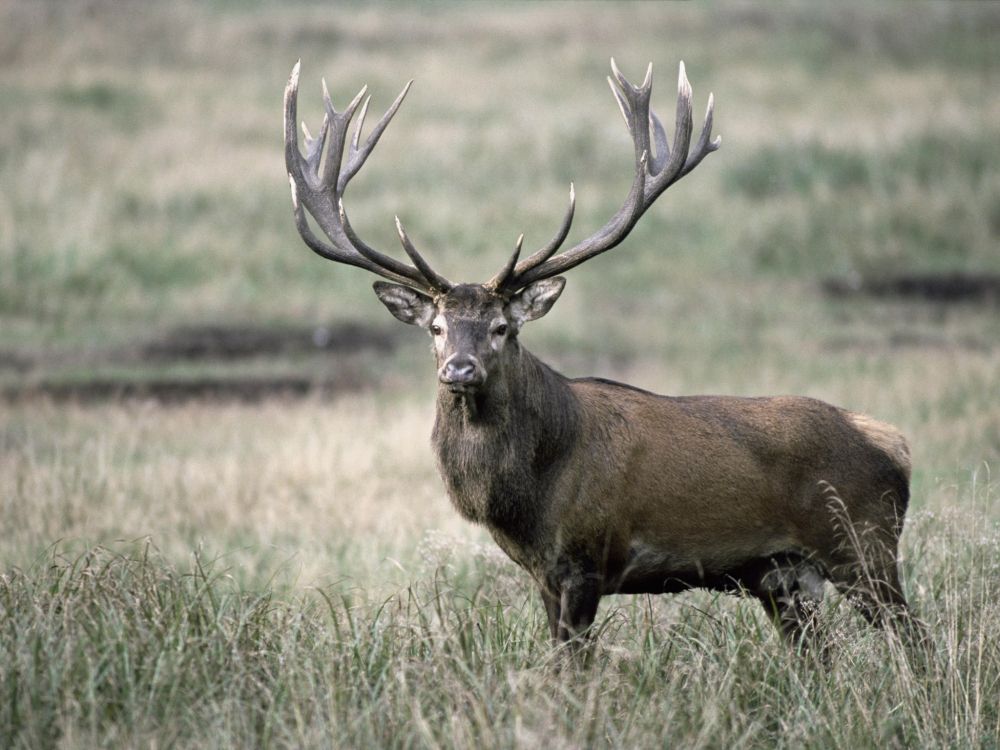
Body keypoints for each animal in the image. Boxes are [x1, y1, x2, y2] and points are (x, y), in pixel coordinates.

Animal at [282, 60, 920, 652]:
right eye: (436, 327)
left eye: (502, 327)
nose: (459, 369)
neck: (529, 495)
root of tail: (893, 442)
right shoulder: (543, 573)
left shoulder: (586, 558)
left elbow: (574, 669)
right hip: (782, 577)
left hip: (863, 545)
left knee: (916, 641)